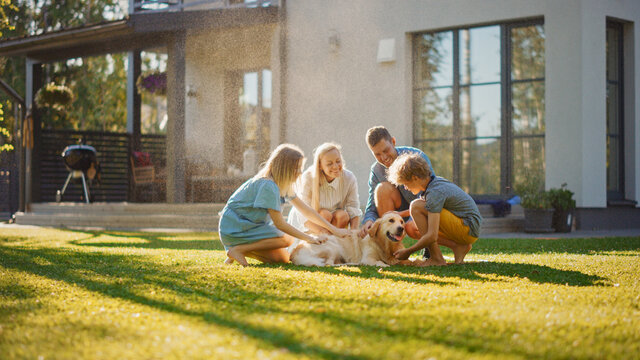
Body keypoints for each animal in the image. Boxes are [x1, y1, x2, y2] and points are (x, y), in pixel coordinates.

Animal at [292, 211, 420, 268]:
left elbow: (411, 260)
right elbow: (380, 262)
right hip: (333, 247)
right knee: (329, 264)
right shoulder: (368, 258)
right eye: (391, 220)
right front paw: (385, 264)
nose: (401, 228)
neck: (383, 245)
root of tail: (294, 252)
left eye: (402, 222)